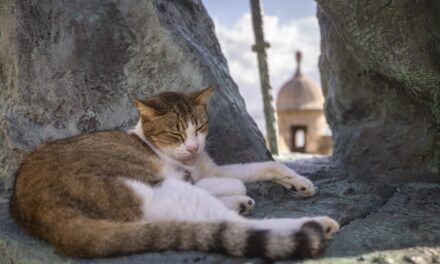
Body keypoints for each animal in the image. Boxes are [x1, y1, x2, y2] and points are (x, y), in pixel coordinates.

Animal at [10, 85, 340, 260]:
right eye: (175, 134)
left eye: (201, 127)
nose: (193, 147)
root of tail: (48, 217)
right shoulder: (189, 178)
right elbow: (238, 182)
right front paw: (240, 197)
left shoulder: (210, 168)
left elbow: (263, 166)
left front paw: (299, 182)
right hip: (155, 188)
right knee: (233, 225)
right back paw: (318, 224)